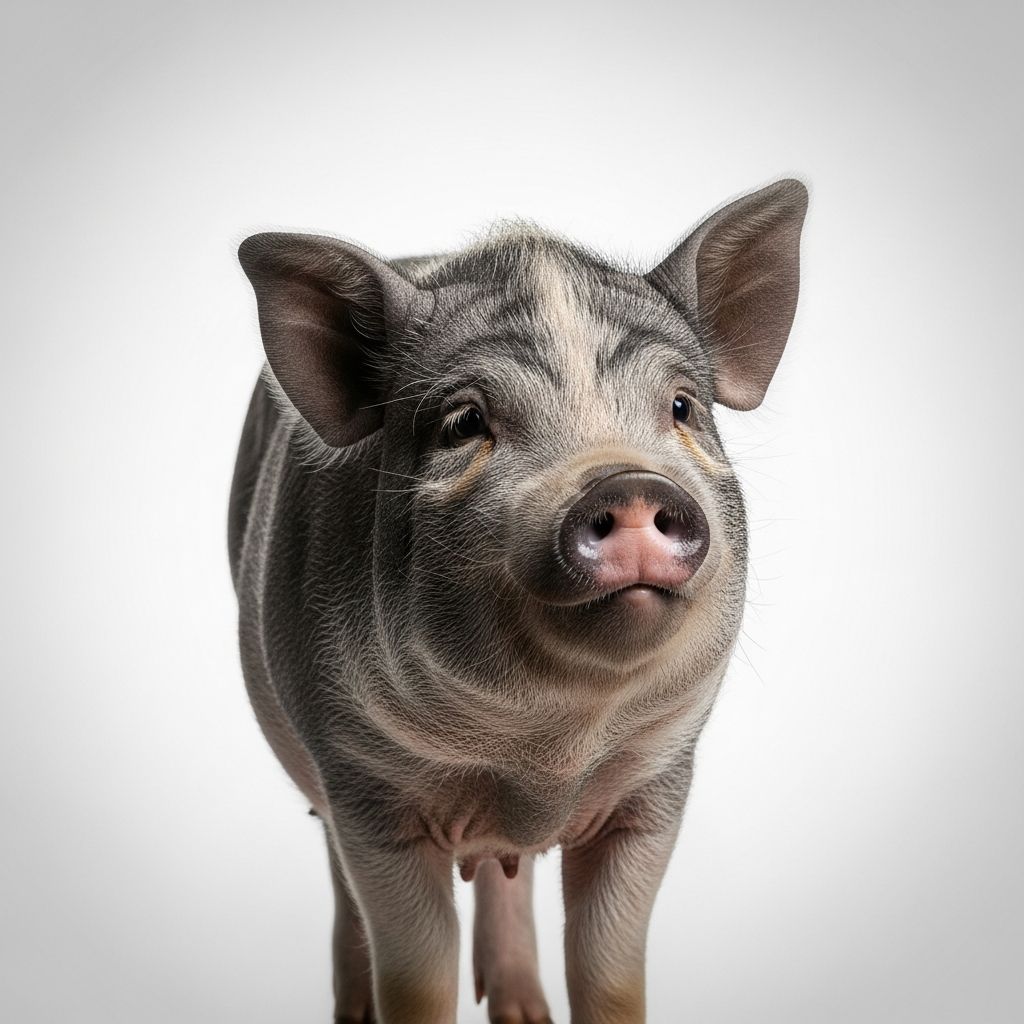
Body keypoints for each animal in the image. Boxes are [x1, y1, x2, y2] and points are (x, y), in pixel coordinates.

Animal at [229, 178, 808, 1024]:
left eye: (682, 407)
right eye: (465, 423)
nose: (627, 482)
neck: (541, 755)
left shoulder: (656, 784)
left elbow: (610, 974)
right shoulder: (365, 788)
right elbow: (416, 978)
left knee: (515, 871)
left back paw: (523, 1012)